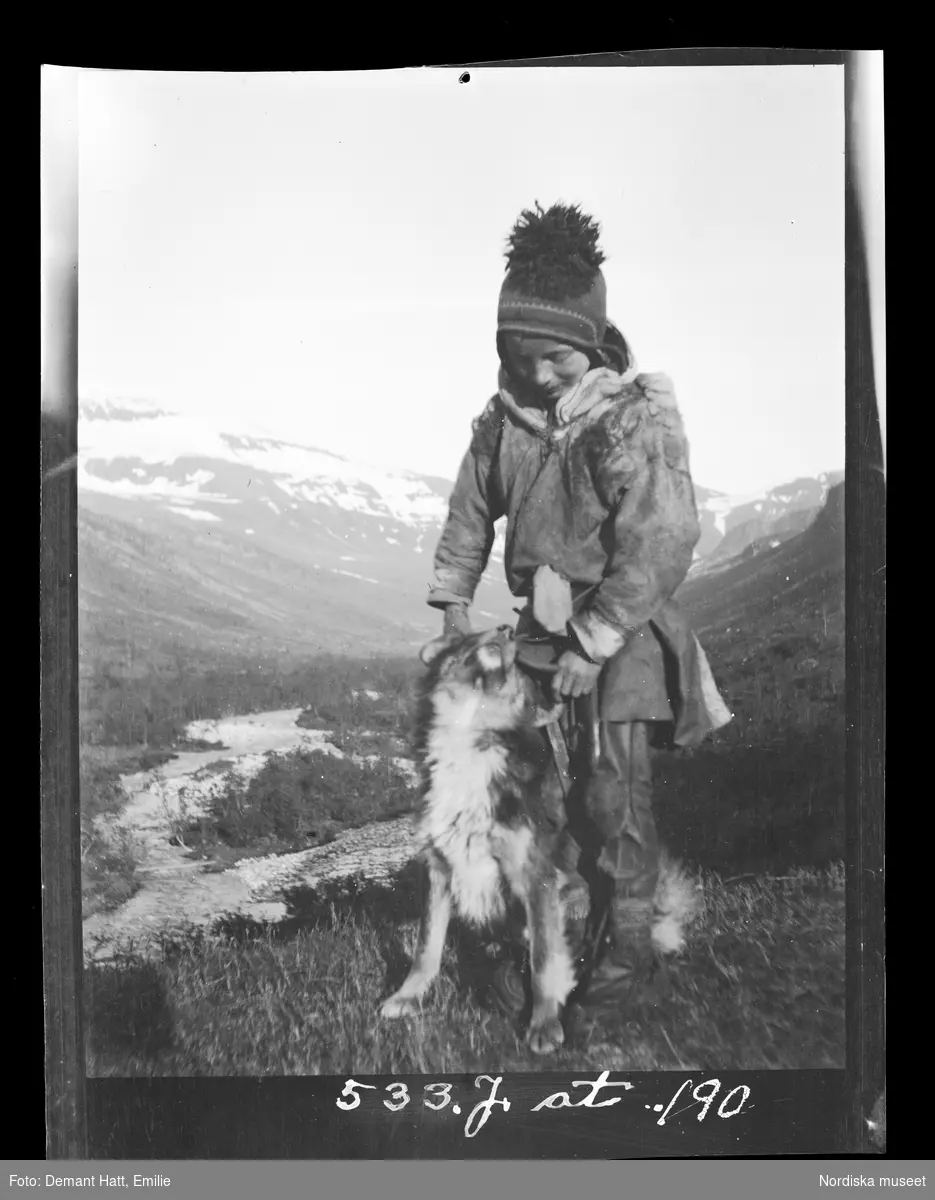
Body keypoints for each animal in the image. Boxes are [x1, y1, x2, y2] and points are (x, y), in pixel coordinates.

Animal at [379, 624, 578, 1056]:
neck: (470, 727)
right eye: (466, 635)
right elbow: (426, 946)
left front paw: (544, 1024)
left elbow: (544, 957)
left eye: (517, 666)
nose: (505, 628)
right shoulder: (437, 866)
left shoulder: (535, 874)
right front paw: (407, 997)